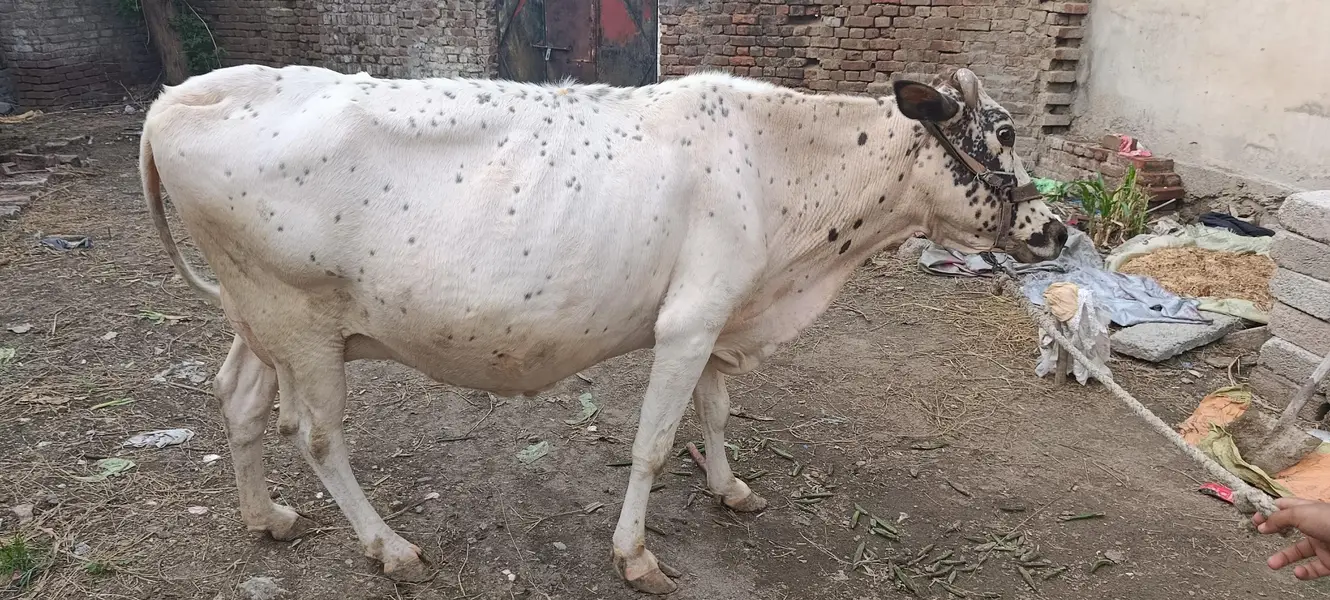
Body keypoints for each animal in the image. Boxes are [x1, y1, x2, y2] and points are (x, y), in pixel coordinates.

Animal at [139, 63, 1067, 593]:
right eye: (1005, 131)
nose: (1058, 230)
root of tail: (183, 95)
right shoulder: (689, 323)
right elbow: (653, 445)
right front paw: (636, 556)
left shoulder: (721, 315)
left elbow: (716, 412)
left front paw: (729, 488)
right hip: (297, 322)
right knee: (317, 434)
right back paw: (390, 547)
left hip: (260, 319)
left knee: (238, 401)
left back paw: (265, 517)